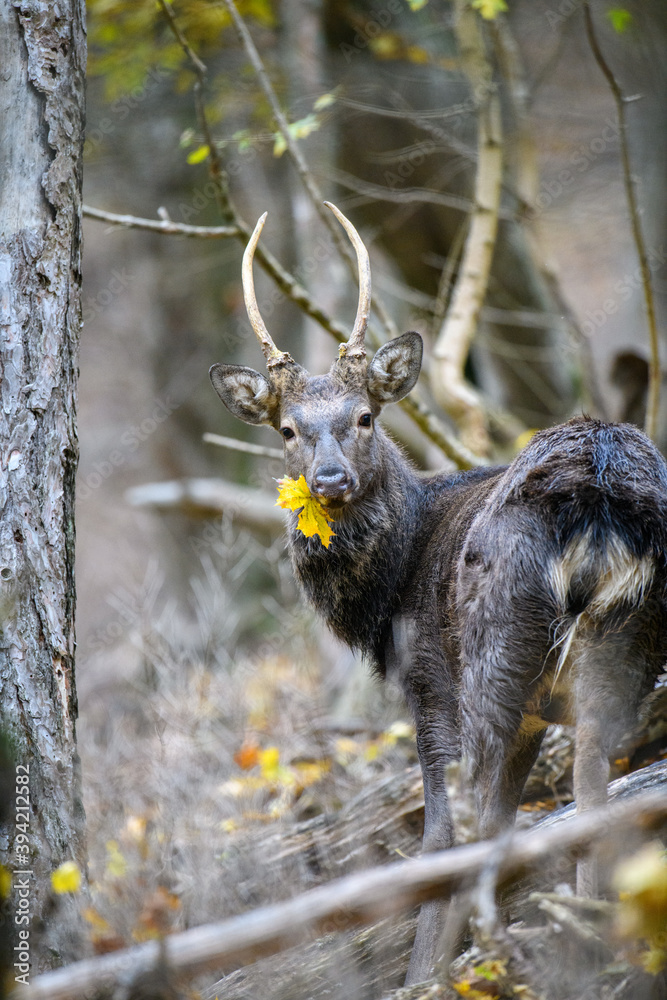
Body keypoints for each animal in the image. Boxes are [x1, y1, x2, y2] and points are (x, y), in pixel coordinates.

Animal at [211, 203, 667, 984]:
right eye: (288, 429)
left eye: (365, 417)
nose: (329, 479)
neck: (392, 583)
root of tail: (599, 489)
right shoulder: (532, 713)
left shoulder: (428, 681)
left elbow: (444, 830)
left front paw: (423, 971)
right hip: (628, 634)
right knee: (590, 782)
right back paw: (589, 934)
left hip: (493, 646)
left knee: (475, 811)